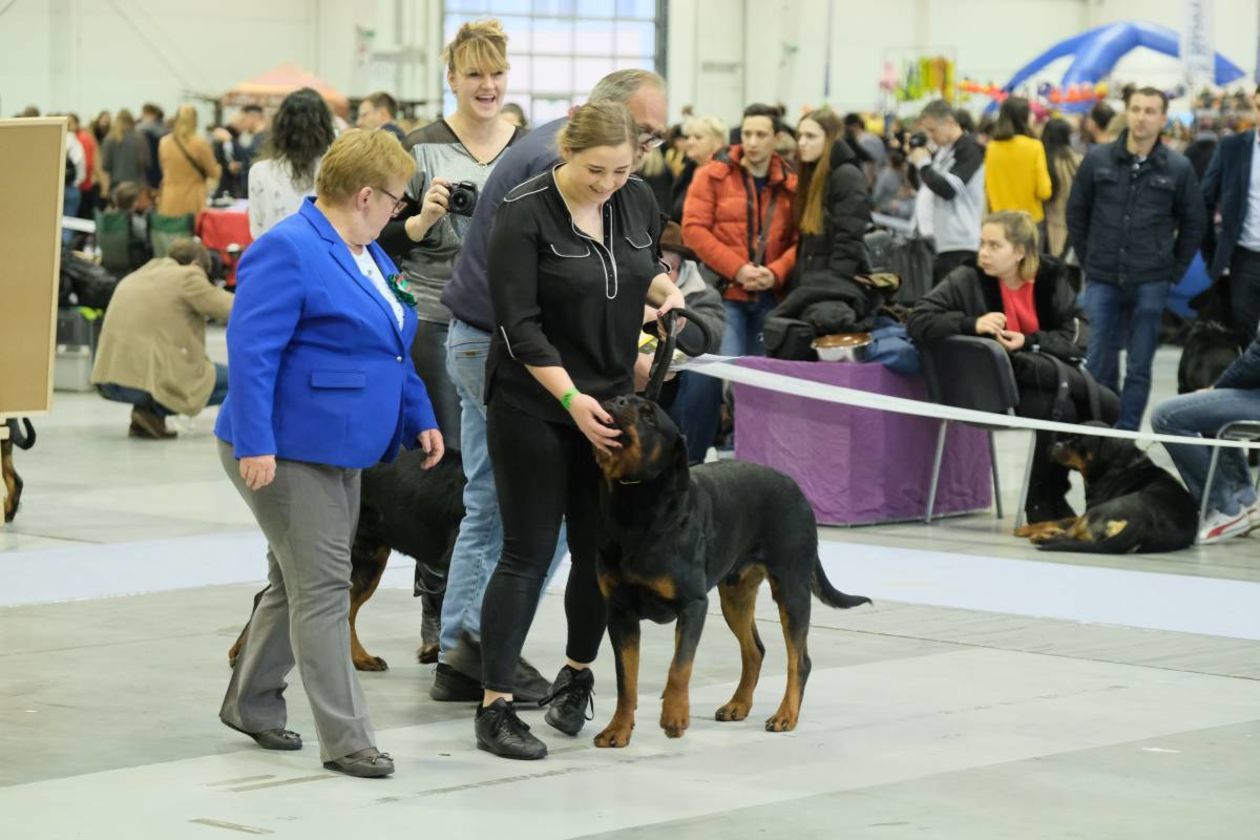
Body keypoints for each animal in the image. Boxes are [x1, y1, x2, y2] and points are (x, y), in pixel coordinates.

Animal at [587, 395, 866, 750]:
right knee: (755, 650)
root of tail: (797, 488)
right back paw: (738, 704)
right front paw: (618, 729)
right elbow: (626, 679)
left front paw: (674, 715)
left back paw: (785, 715)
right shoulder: (620, 611)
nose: (618, 399)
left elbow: (680, 665)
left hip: (792, 589)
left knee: (798, 660)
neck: (637, 507)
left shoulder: (693, 604)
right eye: (622, 399)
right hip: (735, 594)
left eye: (649, 415)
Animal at [1013, 423, 1189, 554]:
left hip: (1097, 511)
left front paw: (1025, 529)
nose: (1056, 444)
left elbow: (1062, 520)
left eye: (1078, 442)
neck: (1115, 465)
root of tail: (1143, 523)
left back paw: (1041, 536)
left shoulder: (1088, 511)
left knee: (1067, 535)